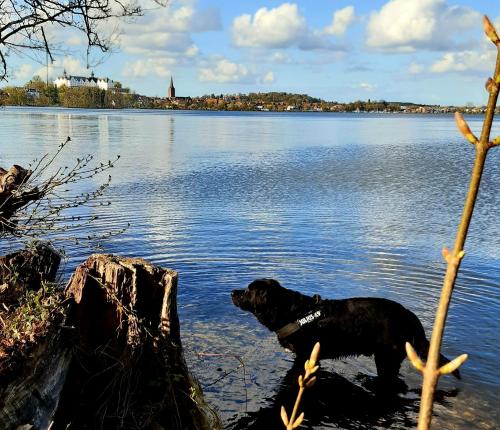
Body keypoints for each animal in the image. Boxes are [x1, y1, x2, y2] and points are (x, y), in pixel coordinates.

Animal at [232, 280, 458, 382]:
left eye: (248, 290)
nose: (232, 292)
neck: (292, 313)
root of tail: (410, 317)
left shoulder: (306, 355)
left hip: (386, 358)